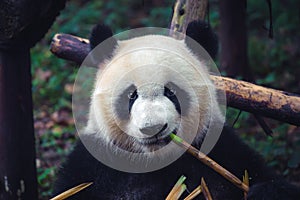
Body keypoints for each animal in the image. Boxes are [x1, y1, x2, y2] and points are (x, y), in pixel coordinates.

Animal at [54, 21, 300, 199]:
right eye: (131, 95)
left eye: (171, 92)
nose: (153, 127)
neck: (154, 161)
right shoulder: (95, 163)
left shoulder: (222, 150)